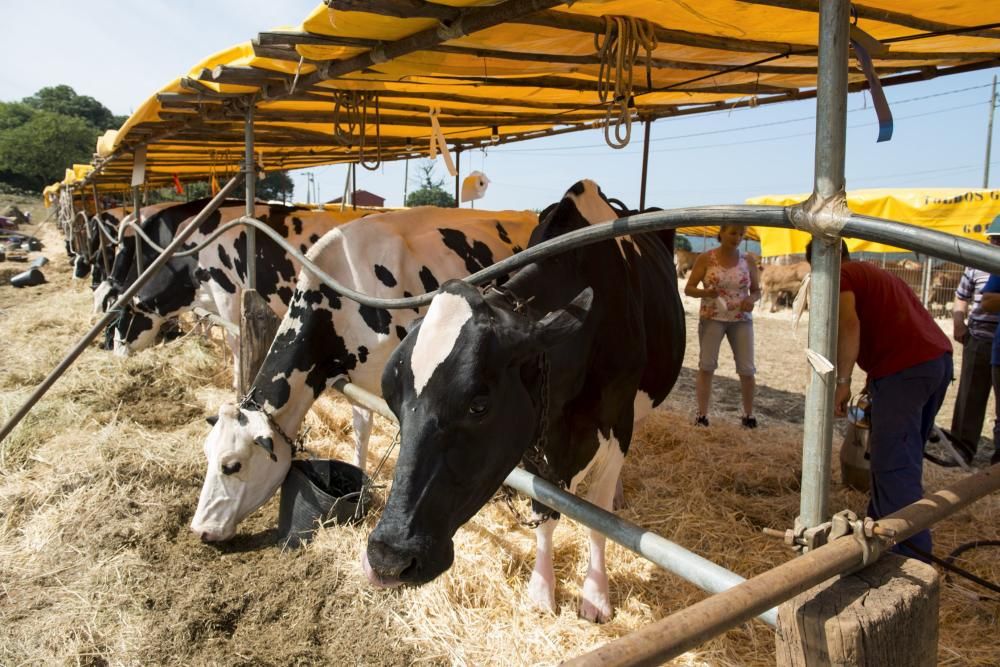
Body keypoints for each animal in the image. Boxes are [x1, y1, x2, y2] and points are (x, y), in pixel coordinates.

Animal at [366, 180, 688, 624]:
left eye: (479, 404)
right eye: (392, 398)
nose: (388, 558)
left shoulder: (617, 421)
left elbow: (599, 517)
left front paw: (596, 596)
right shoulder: (538, 430)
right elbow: (545, 511)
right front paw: (541, 590)